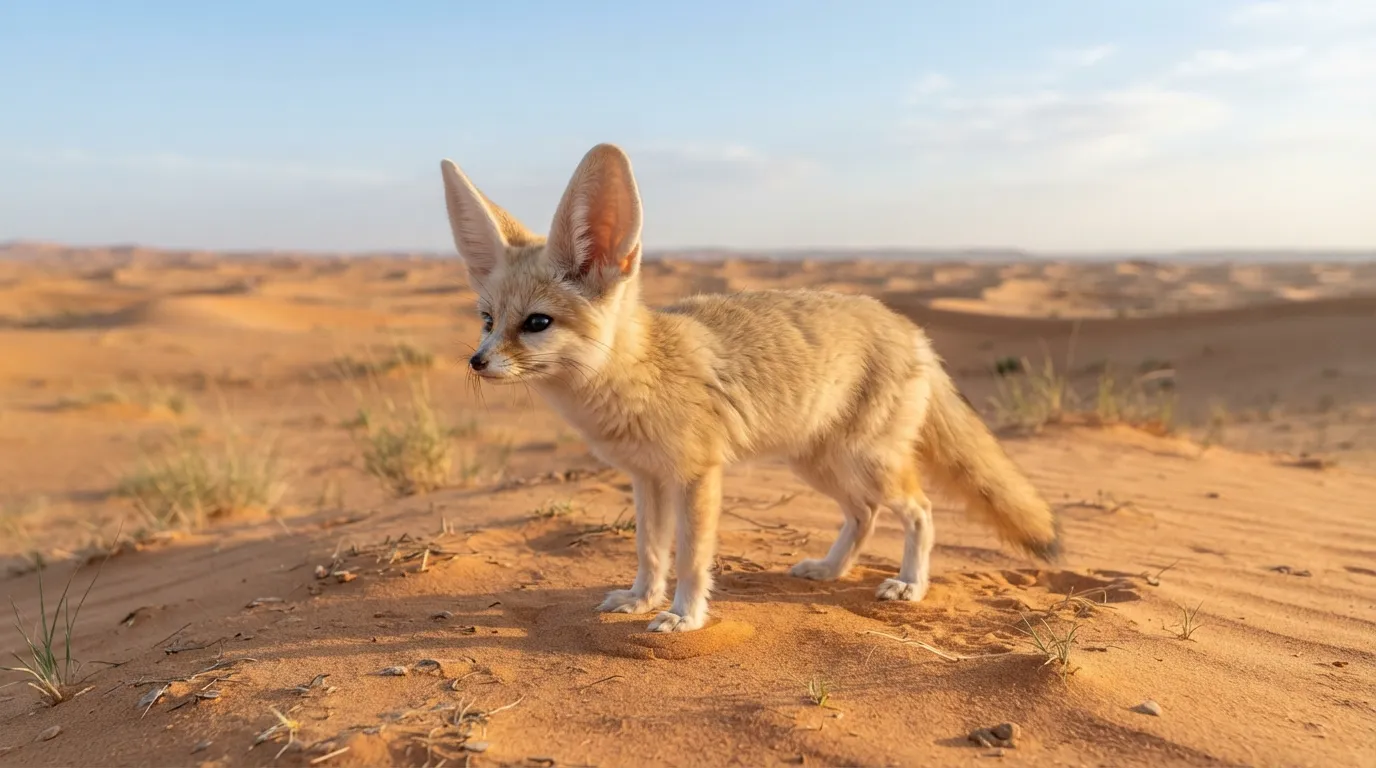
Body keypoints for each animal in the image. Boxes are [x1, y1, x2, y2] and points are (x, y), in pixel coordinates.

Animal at [439, 143, 1060, 633]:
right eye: (487, 320)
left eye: (537, 323)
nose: (476, 362)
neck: (638, 373)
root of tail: (909, 327)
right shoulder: (647, 478)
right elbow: (650, 551)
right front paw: (641, 599)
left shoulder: (696, 475)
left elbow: (692, 558)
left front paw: (685, 616)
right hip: (819, 464)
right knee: (864, 515)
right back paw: (830, 569)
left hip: (867, 461)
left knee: (921, 510)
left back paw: (910, 584)